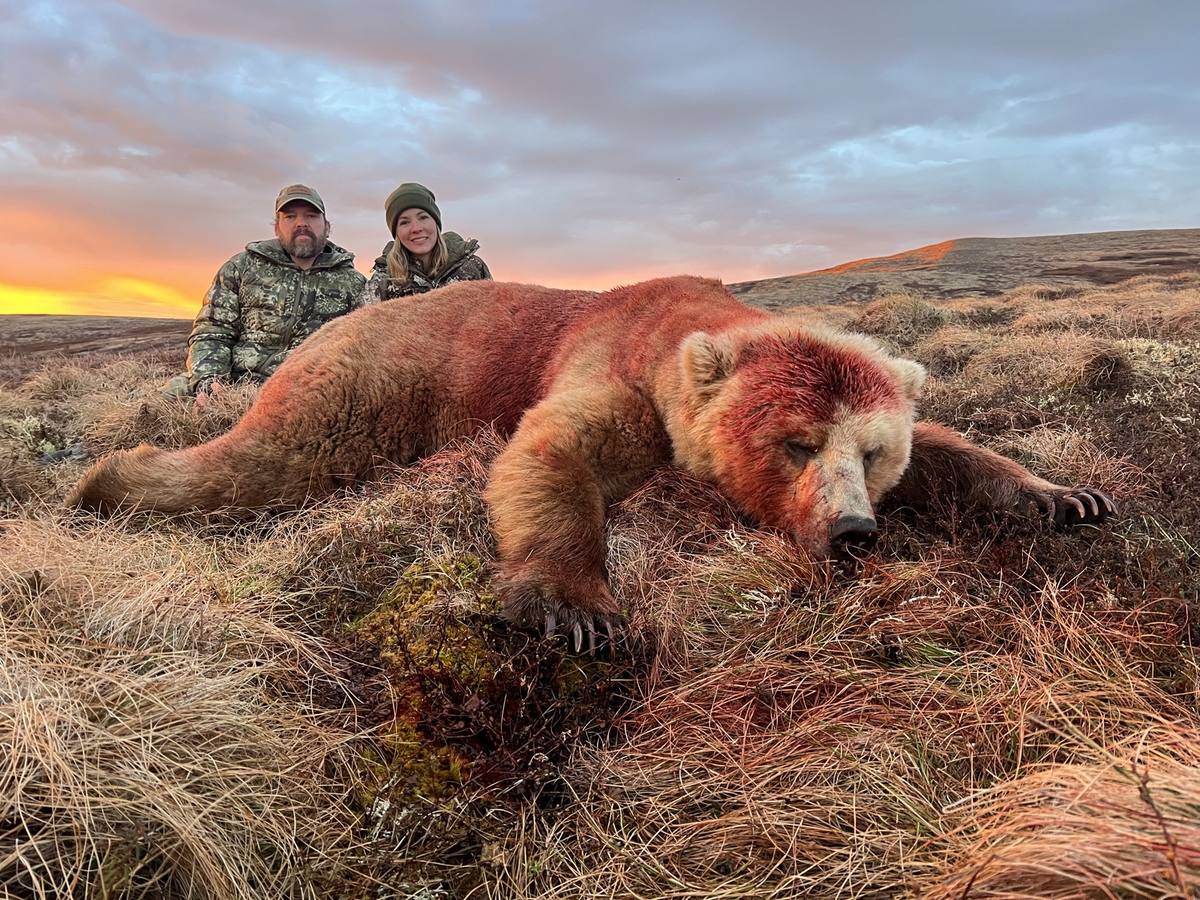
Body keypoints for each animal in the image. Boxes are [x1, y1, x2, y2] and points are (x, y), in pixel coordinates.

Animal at [67, 276, 1115, 650]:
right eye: (796, 443)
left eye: (873, 449)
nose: (854, 529)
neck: (686, 326)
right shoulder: (623, 382)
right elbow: (550, 457)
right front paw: (579, 609)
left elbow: (958, 448)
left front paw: (1066, 497)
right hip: (370, 386)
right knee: (270, 458)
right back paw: (101, 483)